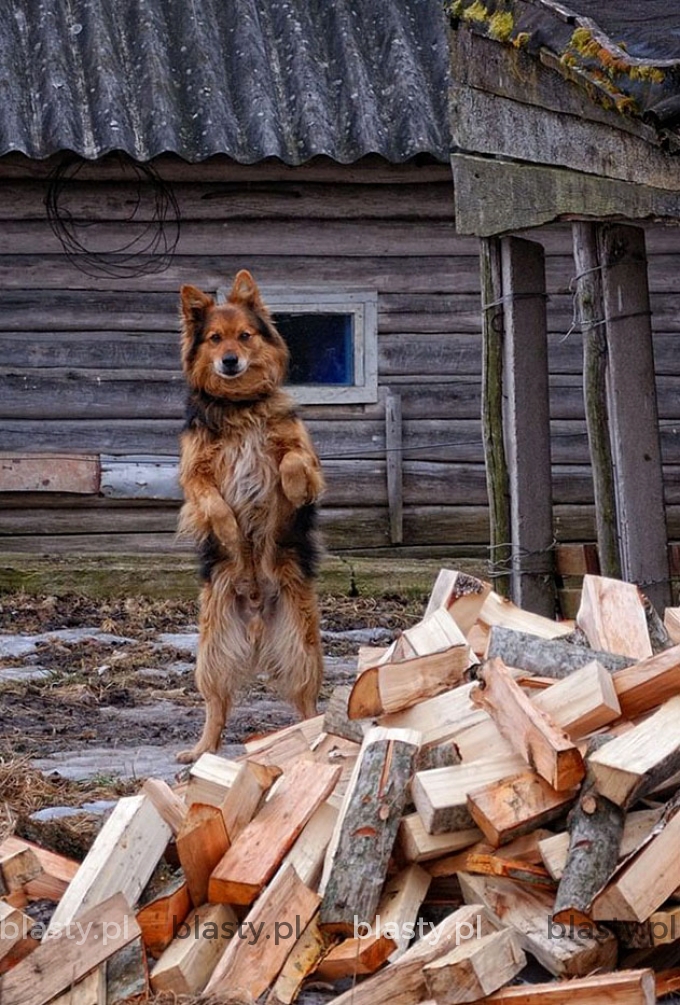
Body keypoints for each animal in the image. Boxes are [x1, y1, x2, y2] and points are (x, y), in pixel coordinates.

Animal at [173, 271, 325, 763]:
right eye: (214, 339)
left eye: (245, 336)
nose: (230, 361)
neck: (240, 406)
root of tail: (257, 617)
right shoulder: (193, 475)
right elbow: (213, 502)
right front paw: (229, 530)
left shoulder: (307, 457)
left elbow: (293, 463)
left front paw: (292, 488)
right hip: (211, 652)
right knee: (216, 706)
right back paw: (200, 749)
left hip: (302, 649)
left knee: (307, 706)